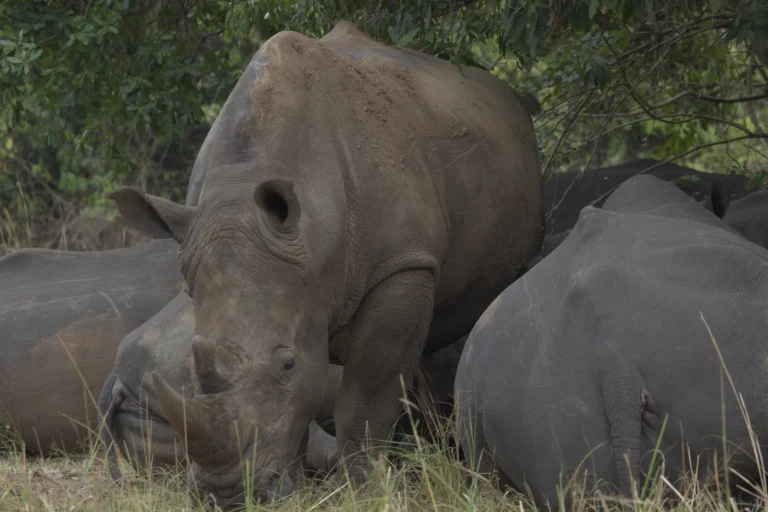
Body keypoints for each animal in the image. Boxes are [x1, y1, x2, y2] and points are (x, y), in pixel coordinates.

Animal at [106, 20, 542, 506]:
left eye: (287, 363)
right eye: (193, 367)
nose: (227, 496)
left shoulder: (401, 265)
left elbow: (365, 395)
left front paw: (359, 493)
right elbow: (301, 404)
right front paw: (294, 490)